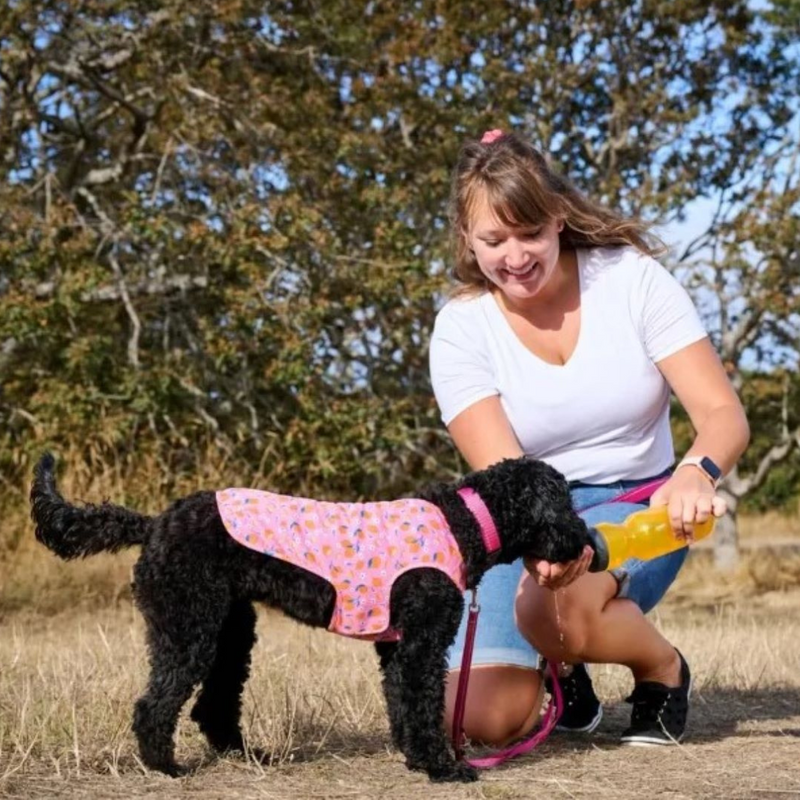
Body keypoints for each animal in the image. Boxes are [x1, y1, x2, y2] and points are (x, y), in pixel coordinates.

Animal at [31, 454, 592, 784]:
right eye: (563, 502)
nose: (586, 542)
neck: (465, 521)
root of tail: (153, 525)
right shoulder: (423, 644)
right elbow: (423, 702)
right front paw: (443, 766)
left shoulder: (396, 646)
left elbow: (402, 703)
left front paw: (416, 758)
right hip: (188, 628)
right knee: (155, 703)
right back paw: (165, 766)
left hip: (229, 632)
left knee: (212, 705)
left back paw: (247, 756)